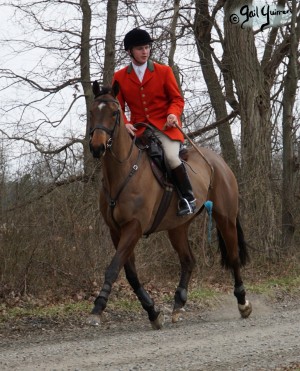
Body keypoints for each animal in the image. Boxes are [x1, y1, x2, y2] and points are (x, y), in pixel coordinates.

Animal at [88, 80, 252, 328]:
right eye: (92, 111)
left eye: (115, 112)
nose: (97, 146)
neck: (124, 171)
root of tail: (220, 162)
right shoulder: (117, 231)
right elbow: (130, 273)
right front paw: (152, 311)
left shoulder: (134, 227)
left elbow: (113, 267)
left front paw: (98, 307)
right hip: (177, 227)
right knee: (188, 261)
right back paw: (178, 303)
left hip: (225, 218)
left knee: (233, 257)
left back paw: (243, 302)